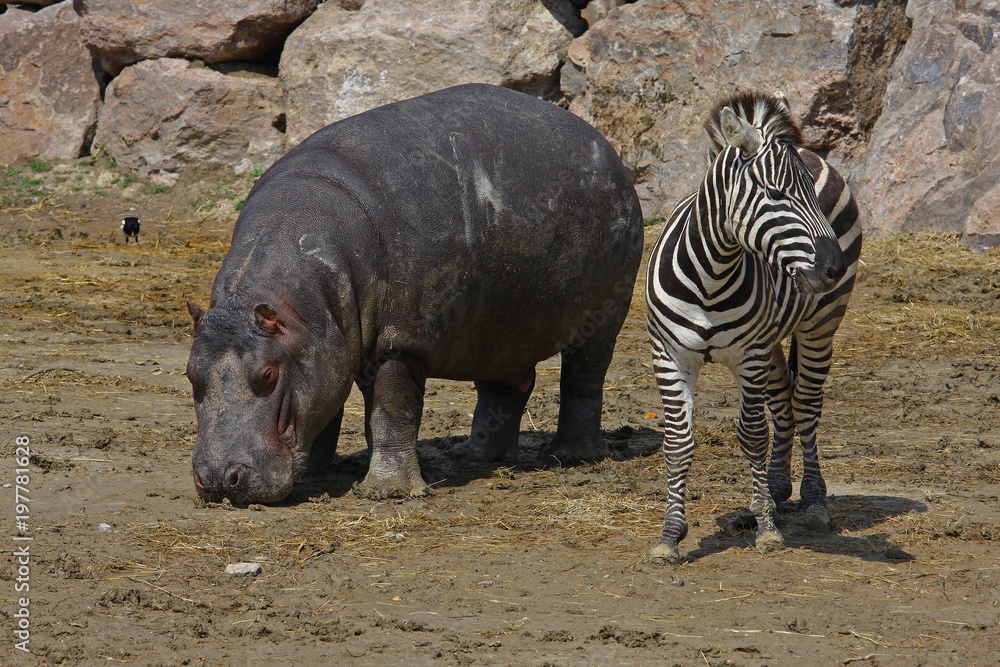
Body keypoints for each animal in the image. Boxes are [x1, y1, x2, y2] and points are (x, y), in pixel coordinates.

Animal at [644, 91, 864, 568]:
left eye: (811, 196)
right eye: (776, 194)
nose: (834, 267)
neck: (710, 274)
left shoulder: (749, 354)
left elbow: (751, 436)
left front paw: (767, 530)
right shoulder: (670, 354)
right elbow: (677, 442)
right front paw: (670, 536)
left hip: (819, 325)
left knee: (806, 405)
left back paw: (813, 502)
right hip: (774, 337)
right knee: (783, 400)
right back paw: (776, 491)